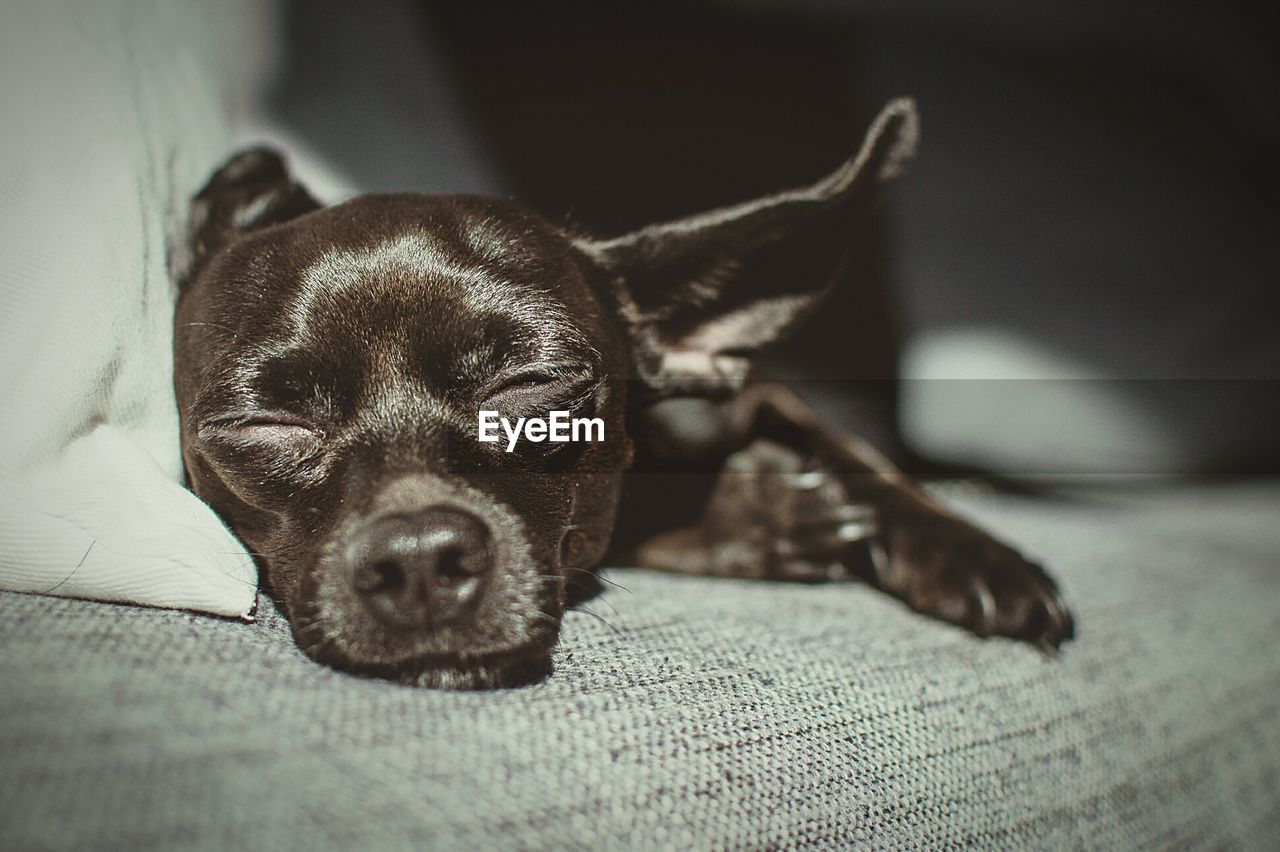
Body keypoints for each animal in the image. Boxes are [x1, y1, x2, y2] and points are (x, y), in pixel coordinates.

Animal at [170, 99, 1070, 685]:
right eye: (265, 424)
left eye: (531, 381)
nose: (419, 557)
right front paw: (765, 515)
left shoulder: (760, 393)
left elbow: (856, 451)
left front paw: (978, 554)